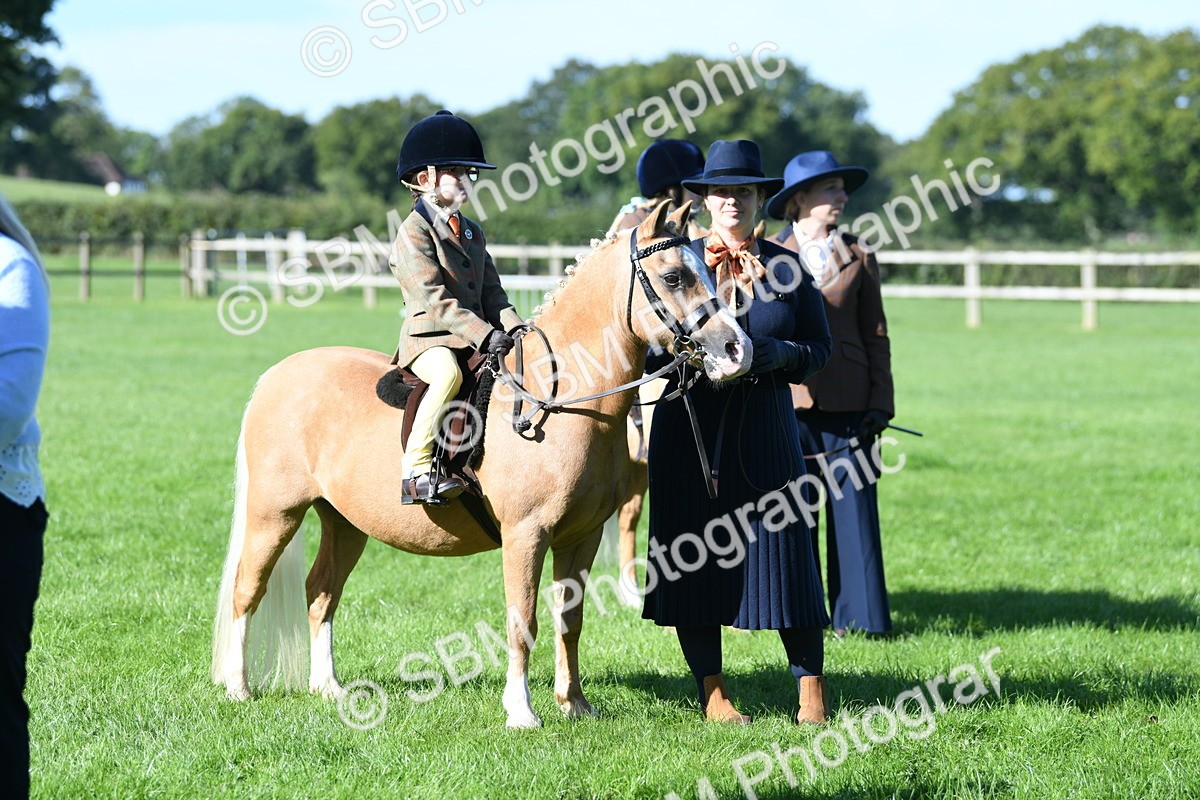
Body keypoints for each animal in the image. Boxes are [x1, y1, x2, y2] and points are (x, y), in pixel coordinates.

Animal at [211, 201, 752, 728]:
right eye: (674, 277)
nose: (736, 350)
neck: (559, 396)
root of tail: (277, 374)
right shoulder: (526, 535)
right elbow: (523, 620)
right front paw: (522, 711)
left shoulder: (581, 536)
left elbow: (569, 620)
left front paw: (574, 704)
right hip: (275, 515)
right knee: (247, 591)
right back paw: (238, 688)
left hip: (344, 524)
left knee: (321, 593)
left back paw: (328, 688)